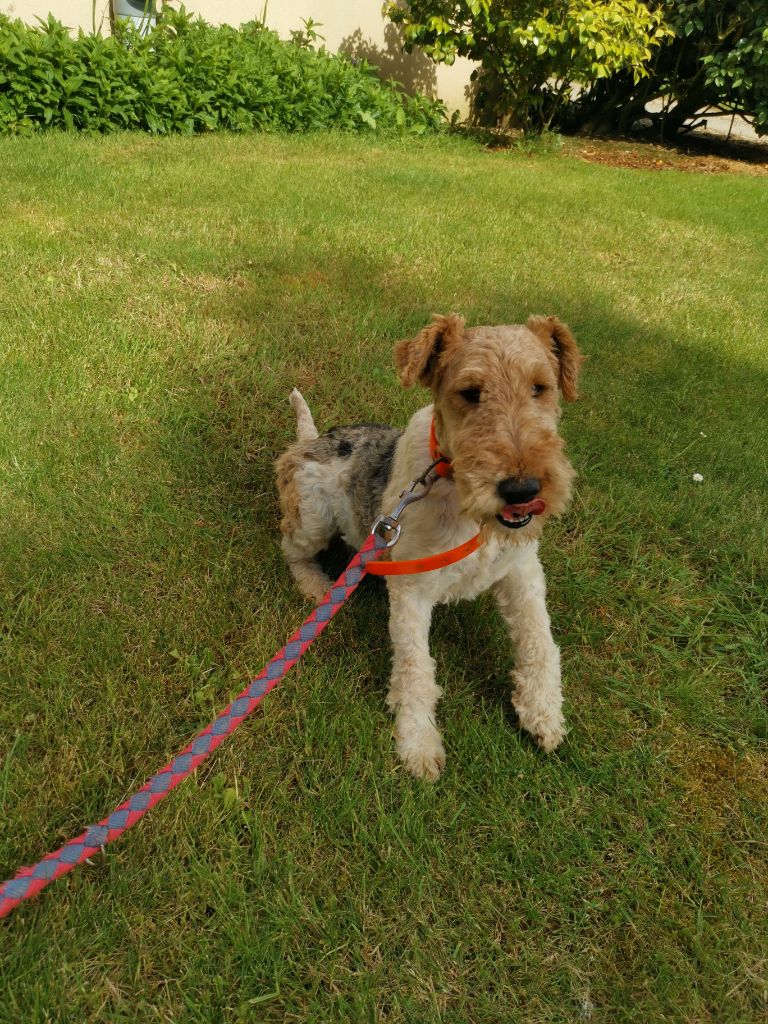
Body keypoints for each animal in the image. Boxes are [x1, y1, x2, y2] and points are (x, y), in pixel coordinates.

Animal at [276, 315, 581, 778]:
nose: (522, 490)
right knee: (291, 549)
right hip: (313, 516)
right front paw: (419, 746)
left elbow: (539, 641)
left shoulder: (522, 571)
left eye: (540, 387)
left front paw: (543, 715)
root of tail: (312, 440)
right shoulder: (411, 590)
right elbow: (416, 669)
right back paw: (316, 586)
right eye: (470, 392)